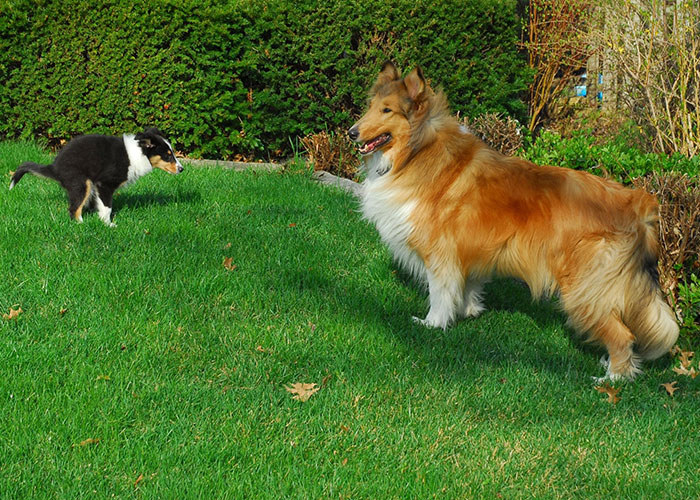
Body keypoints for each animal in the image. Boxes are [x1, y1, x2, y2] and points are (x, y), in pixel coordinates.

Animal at [9, 128, 183, 226]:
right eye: (168, 155)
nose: (181, 169)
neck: (139, 154)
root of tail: (54, 167)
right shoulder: (104, 183)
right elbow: (107, 207)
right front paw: (108, 225)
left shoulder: (98, 187)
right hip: (81, 183)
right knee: (74, 209)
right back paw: (82, 225)